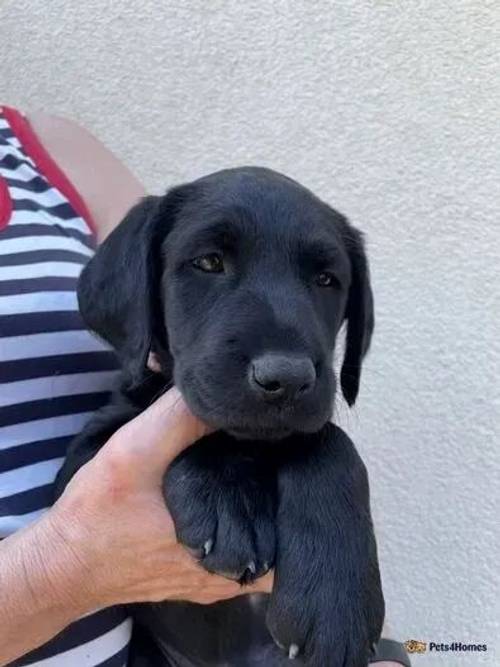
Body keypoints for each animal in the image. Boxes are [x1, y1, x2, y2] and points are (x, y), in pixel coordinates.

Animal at [53, 168, 382, 667]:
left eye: (327, 280)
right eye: (209, 262)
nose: (286, 378)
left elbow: (327, 442)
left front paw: (336, 602)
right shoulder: (81, 465)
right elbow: (204, 424)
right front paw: (226, 498)